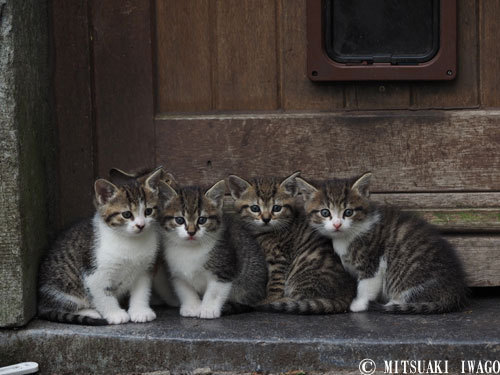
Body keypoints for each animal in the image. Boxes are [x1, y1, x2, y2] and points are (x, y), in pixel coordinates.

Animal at [39, 169, 164, 324]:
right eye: (127, 214)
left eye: (148, 211)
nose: (141, 225)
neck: (130, 241)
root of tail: (40, 304)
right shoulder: (94, 273)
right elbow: (103, 295)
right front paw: (115, 314)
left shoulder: (144, 269)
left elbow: (142, 291)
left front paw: (140, 311)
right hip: (63, 288)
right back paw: (90, 313)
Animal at [160, 181, 270, 318]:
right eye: (179, 220)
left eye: (202, 220)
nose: (191, 232)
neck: (191, 249)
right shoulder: (177, 273)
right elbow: (185, 290)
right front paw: (192, 307)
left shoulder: (223, 268)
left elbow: (215, 291)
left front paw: (208, 309)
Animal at [227, 173, 356, 314]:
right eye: (255, 208)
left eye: (276, 208)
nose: (266, 219)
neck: (265, 232)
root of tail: (348, 294)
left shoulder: (279, 258)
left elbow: (275, 284)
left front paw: (270, 299)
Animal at [294, 173, 466, 314]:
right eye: (325, 212)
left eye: (348, 212)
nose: (337, 224)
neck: (346, 236)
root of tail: (454, 292)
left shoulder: (373, 261)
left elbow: (367, 285)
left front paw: (359, 304)